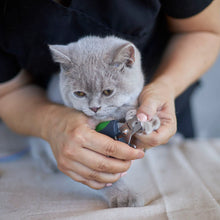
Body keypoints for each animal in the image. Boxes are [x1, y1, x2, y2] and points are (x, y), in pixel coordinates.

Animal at [29, 36, 160, 208]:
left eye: (107, 92)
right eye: (79, 93)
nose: (94, 108)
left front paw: (146, 119)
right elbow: (106, 180)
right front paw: (123, 196)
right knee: (36, 146)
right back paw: (47, 163)